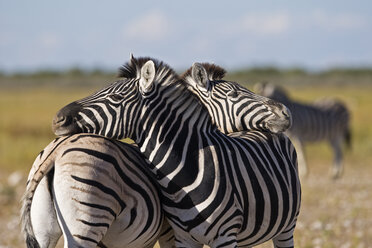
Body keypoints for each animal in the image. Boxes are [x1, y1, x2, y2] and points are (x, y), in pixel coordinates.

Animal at [51, 56, 300, 248]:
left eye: (115, 97)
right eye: (235, 95)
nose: (285, 113)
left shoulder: (223, 236)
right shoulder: (182, 236)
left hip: (287, 227)